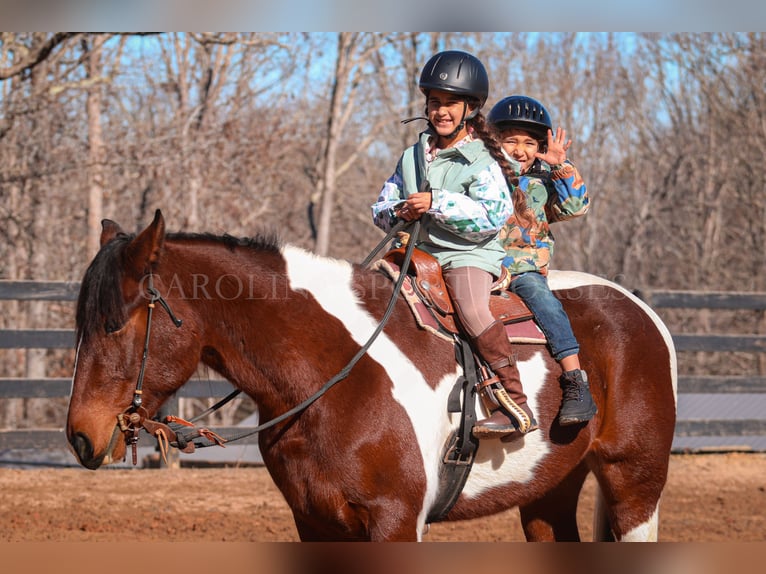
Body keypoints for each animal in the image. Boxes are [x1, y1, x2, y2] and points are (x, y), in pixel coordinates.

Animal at [66, 209, 680, 544]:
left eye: (115, 322)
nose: (80, 437)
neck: (334, 373)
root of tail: (640, 312)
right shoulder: (315, 524)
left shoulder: (396, 522)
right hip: (549, 490)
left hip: (635, 483)